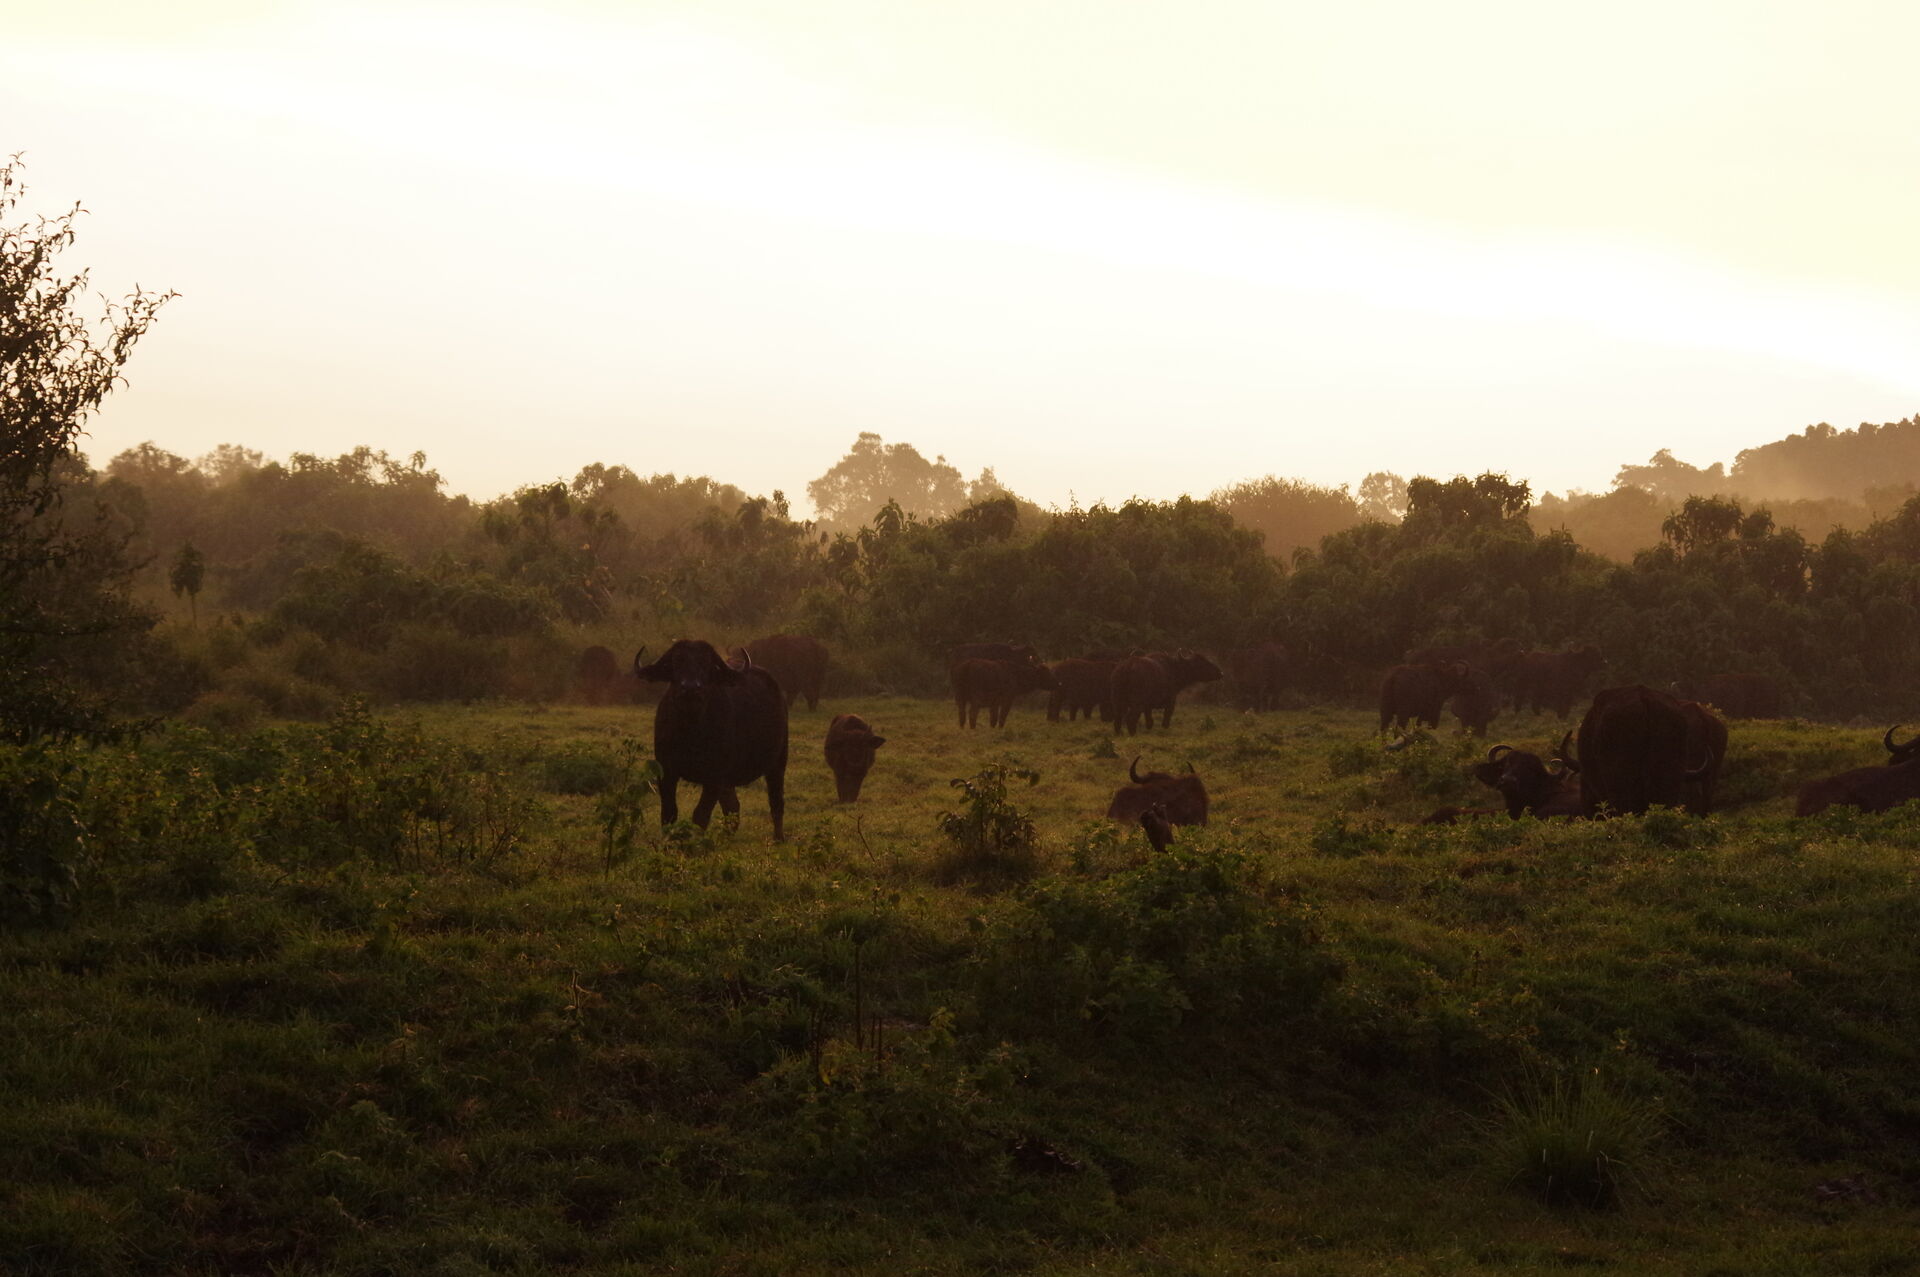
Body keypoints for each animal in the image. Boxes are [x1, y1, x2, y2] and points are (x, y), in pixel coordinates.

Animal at [634, 640, 789, 840]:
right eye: (677, 661)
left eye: (706, 664)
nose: (691, 688)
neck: (690, 732)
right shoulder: (666, 772)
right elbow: (669, 813)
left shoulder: (714, 777)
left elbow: (700, 815)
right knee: (733, 807)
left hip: (778, 762)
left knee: (776, 801)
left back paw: (778, 838)